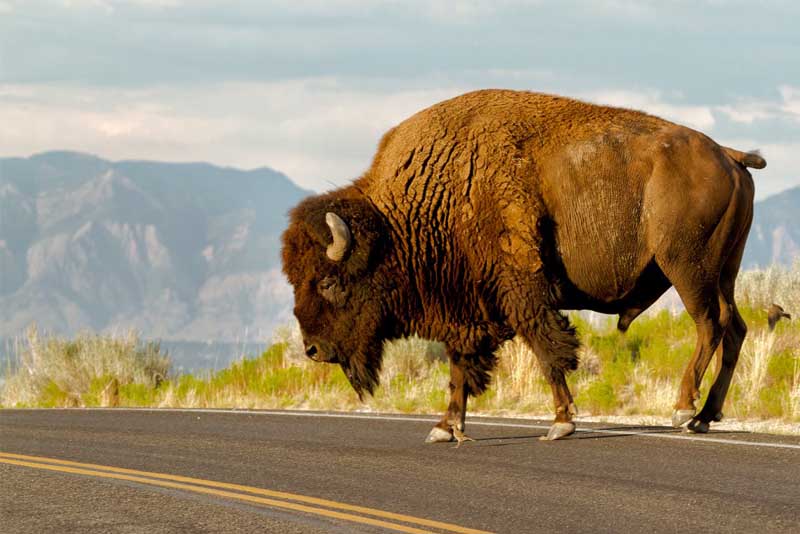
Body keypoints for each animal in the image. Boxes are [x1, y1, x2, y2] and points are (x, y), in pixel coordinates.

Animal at [280, 91, 764, 444]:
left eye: (328, 282)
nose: (313, 350)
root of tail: (728, 154)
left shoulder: (520, 288)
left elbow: (546, 347)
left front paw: (561, 423)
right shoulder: (466, 306)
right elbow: (461, 366)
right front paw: (445, 428)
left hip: (687, 268)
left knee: (710, 323)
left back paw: (683, 410)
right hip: (723, 270)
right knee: (735, 327)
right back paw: (706, 415)